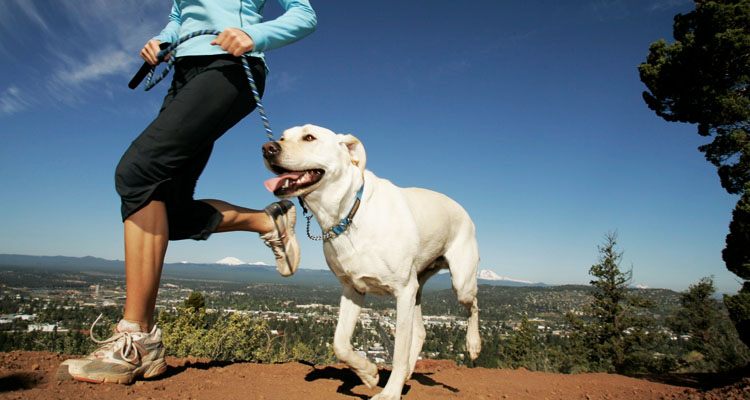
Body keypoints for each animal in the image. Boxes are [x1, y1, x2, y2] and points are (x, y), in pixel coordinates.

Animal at [262, 125, 478, 400]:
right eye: (281, 137)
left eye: (309, 137)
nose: (268, 148)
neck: (349, 214)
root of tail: (461, 208)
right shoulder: (352, 289)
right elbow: (340, 343)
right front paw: (368, 374)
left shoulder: (403, 292)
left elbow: (398, 352)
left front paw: (390, 392)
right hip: (417, 288)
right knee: (420, 331)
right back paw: (407, 373)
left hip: (460, 283)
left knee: (473, 306)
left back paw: (473, 345)